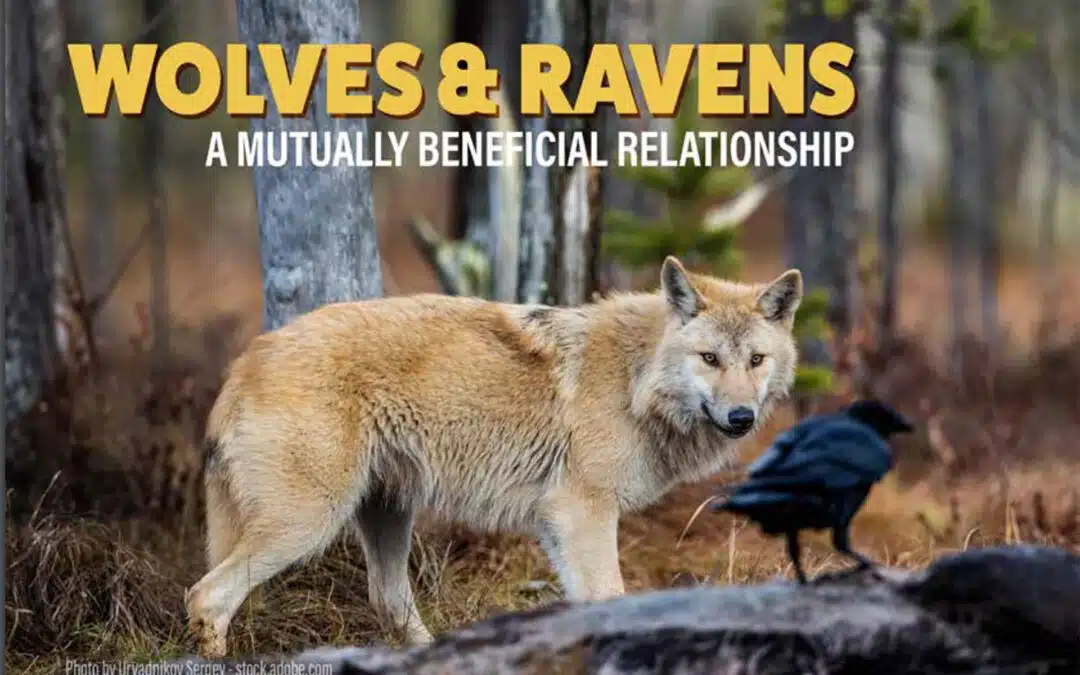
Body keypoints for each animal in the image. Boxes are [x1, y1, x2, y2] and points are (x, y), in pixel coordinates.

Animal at [185, 256, 803, 657]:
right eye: (709, 358)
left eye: (755, 360)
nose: (741, 418)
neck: (635, 379)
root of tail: (246, 359)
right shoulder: (582, 514)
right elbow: (609, 599)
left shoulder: (559, 524)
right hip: (307, 524)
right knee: (207, 597)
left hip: (386, 517)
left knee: (388, 606)